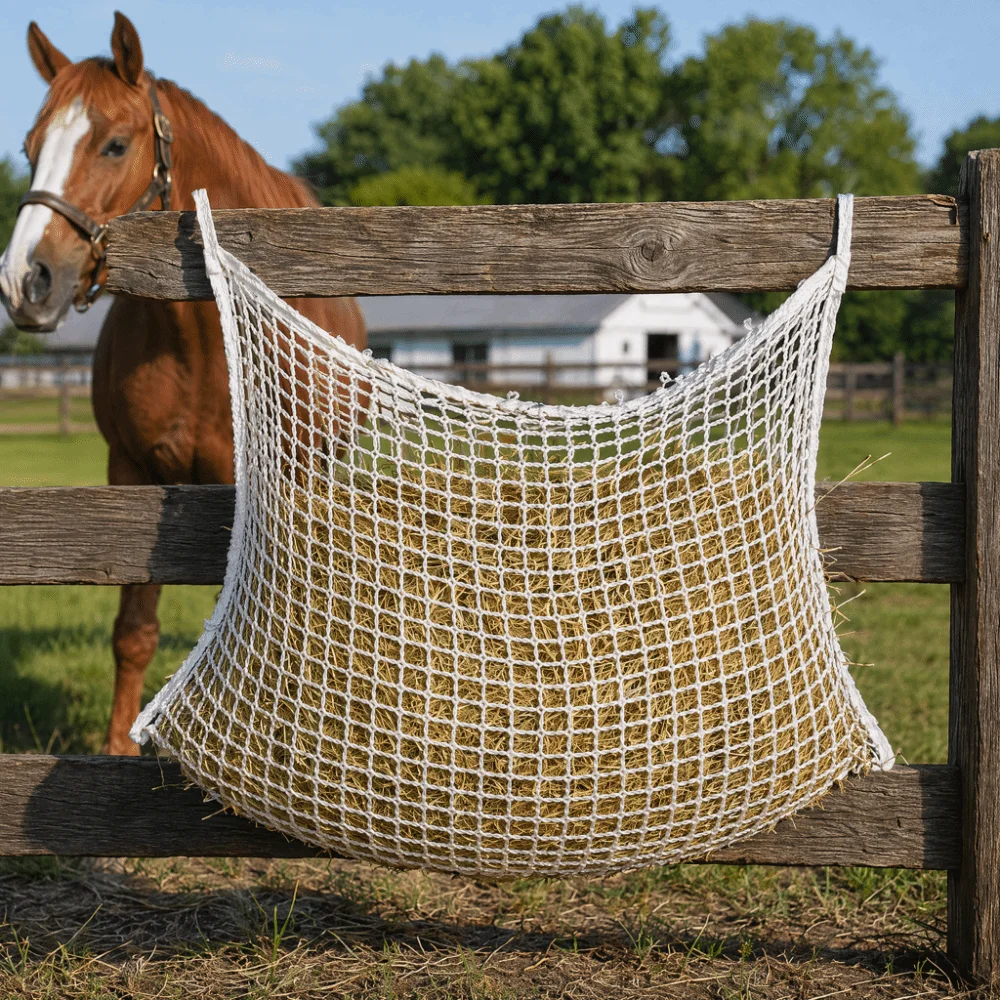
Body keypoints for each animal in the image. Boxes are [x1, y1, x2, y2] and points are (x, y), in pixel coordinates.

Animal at [0, 13, 367, 755]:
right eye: (29, 148)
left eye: (115, 144)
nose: (25, 279)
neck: (206, 341)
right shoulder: (132, 472)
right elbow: (134, 630)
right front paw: (118, 749)